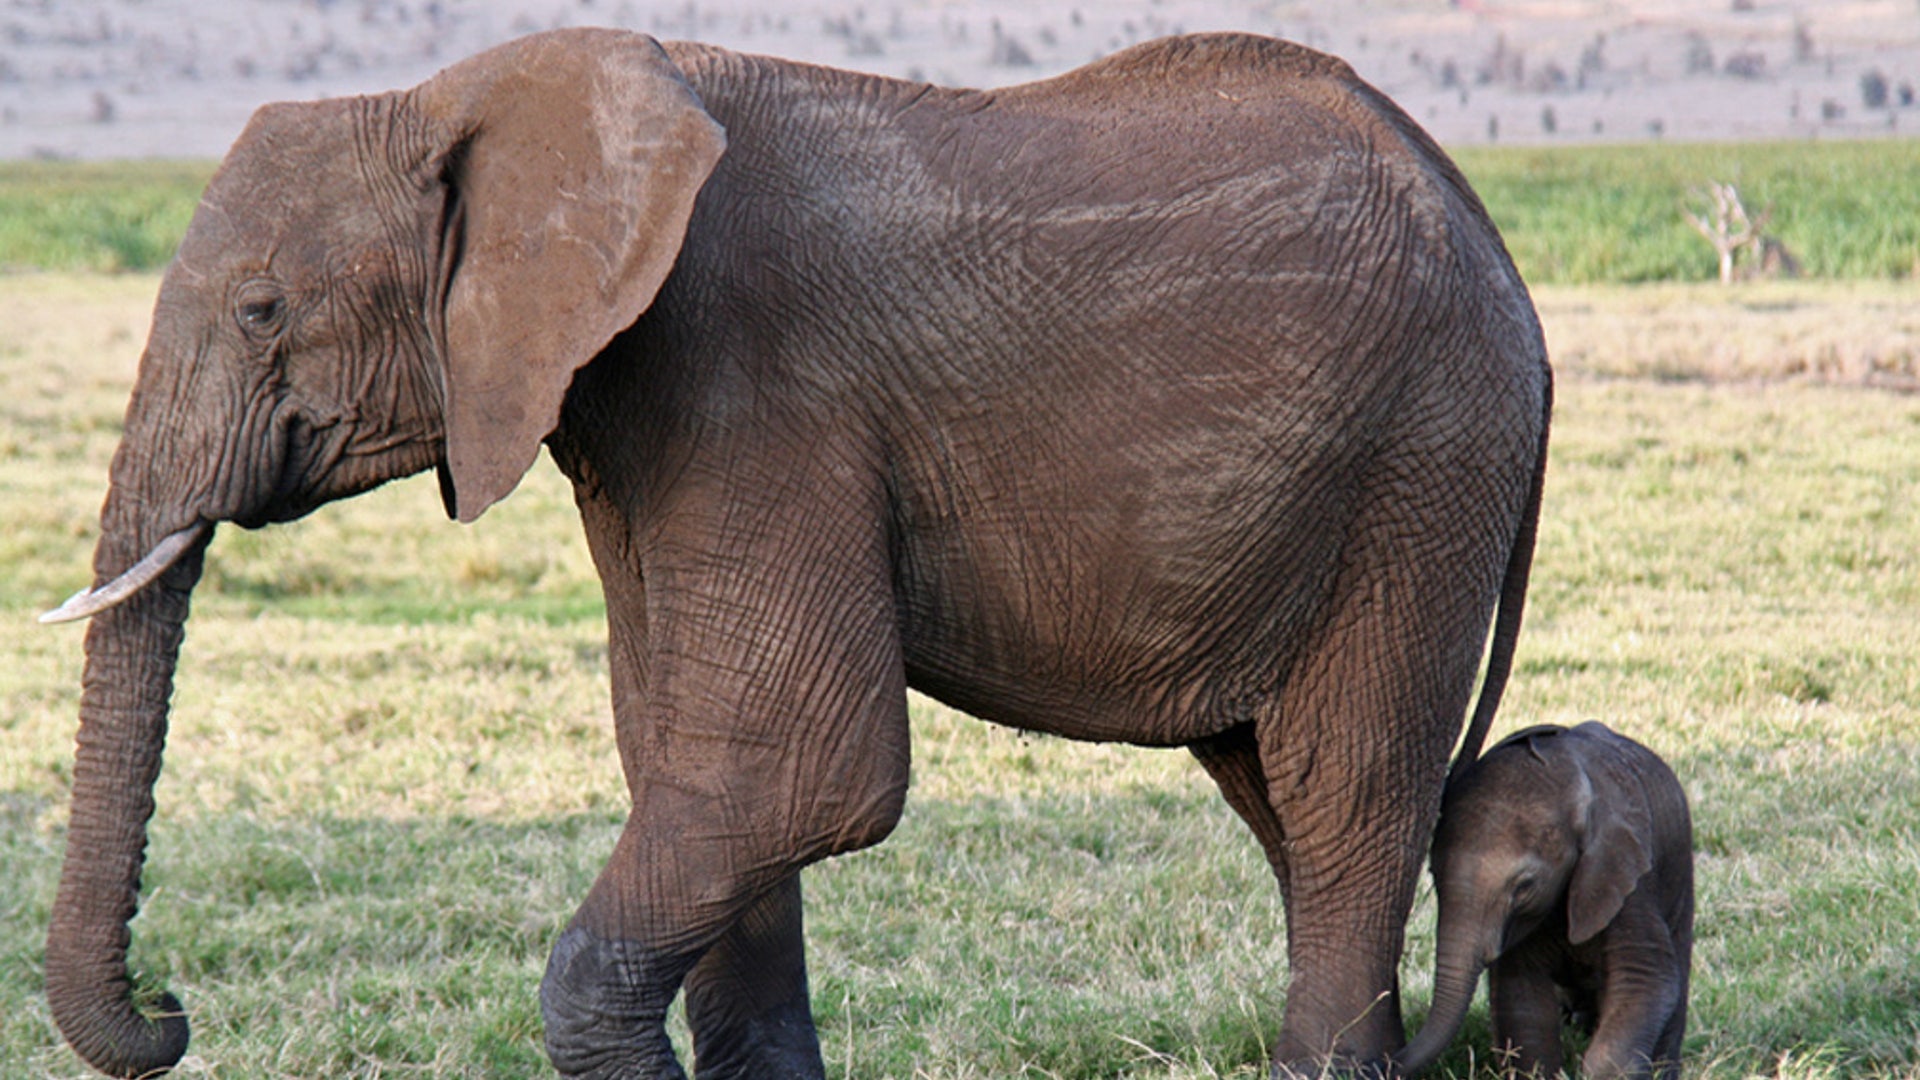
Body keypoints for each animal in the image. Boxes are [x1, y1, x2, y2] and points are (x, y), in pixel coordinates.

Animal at [37, 27, 1552, 1080]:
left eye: (259, 308)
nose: (169, 1008)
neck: (474, 91)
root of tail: (1496, 246)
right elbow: (685, 760)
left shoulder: (754, 383)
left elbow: (797, 767)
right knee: (1281, 793)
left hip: (1421, 463)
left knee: (1344, 784)